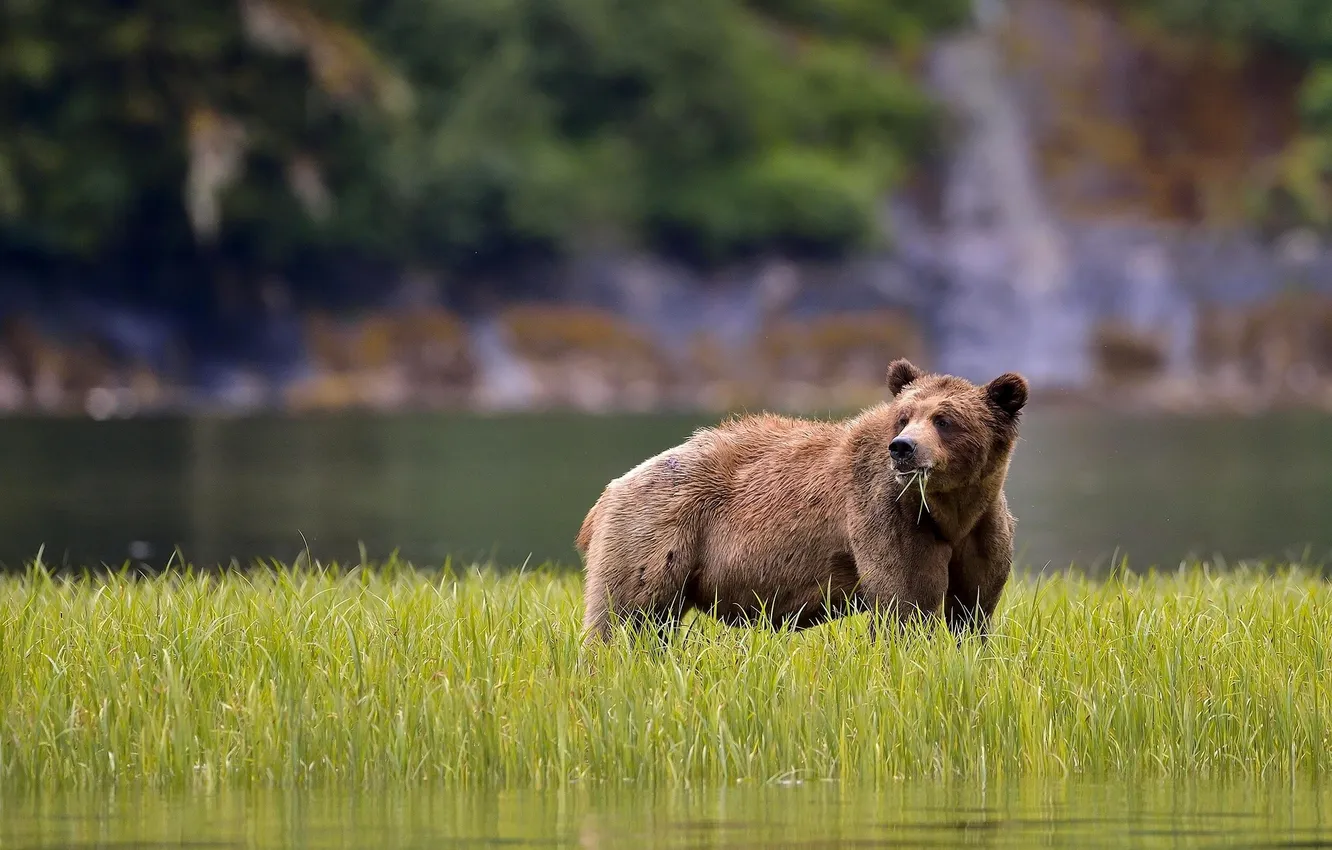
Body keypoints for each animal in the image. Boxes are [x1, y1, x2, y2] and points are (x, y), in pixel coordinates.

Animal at [575, 357, 1028, 644]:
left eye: (945, 420)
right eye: (903, 416)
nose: (903, 448)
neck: (949, 510)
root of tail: (609, 491)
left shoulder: (983, 530)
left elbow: (972, 610)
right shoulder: (887, 514)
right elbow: (906, 602)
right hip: (654, 534)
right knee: (623, 617)